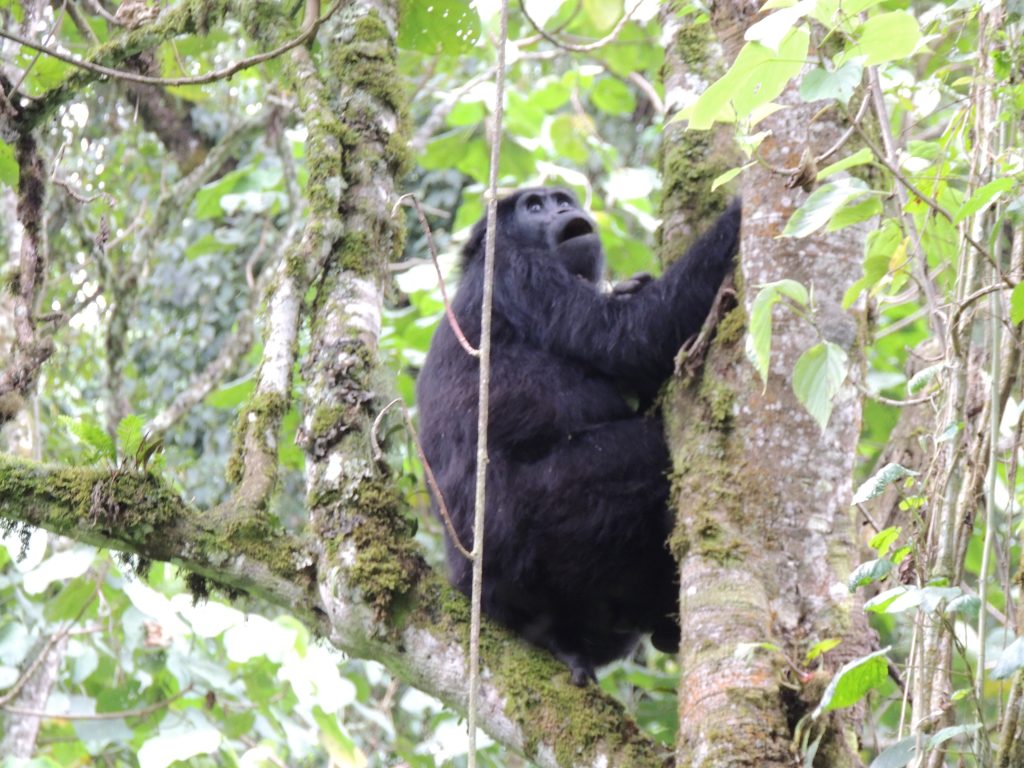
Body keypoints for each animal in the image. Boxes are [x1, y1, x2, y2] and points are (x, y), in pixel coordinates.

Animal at [415, 188, 745, 684]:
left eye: (560, 198)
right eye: (533, 206)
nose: (562, 209)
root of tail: (468, 585)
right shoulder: (520, 273)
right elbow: (628, 334)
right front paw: (739, 213)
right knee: (652, 457)